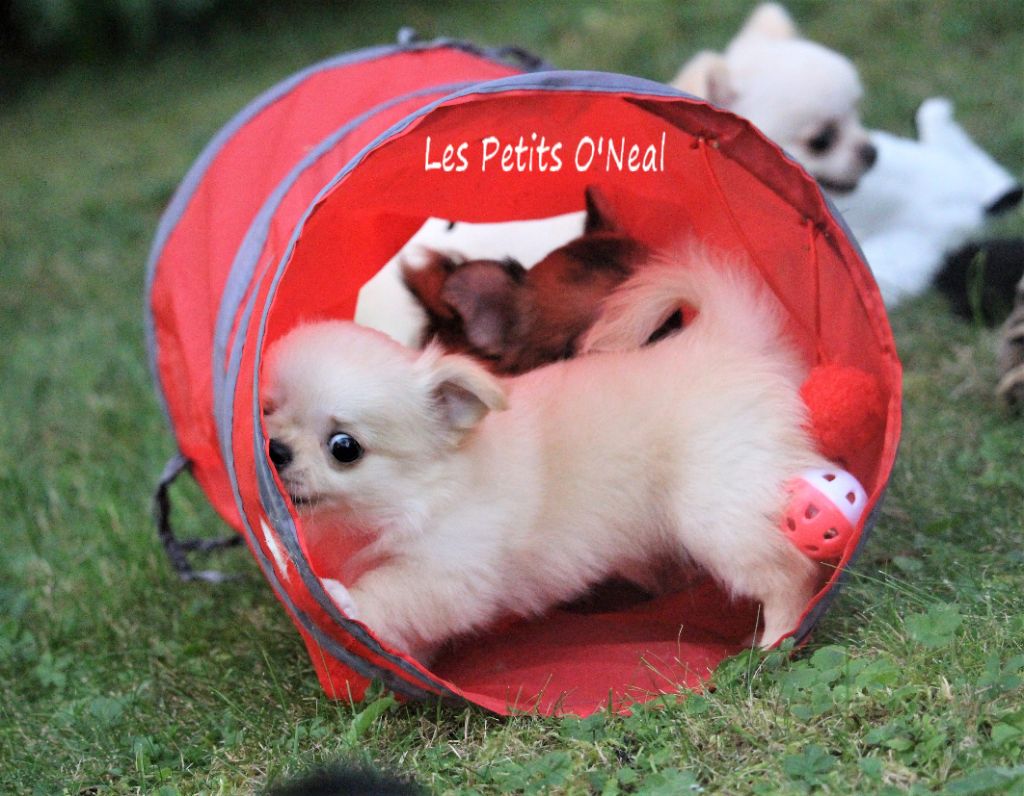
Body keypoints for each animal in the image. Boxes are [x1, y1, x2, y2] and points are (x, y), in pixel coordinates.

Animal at [261, 248, 829, 662]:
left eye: (344, 448)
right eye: (267, 411)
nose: (275, 449)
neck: (423, 492)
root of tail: (725, 339)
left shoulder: (450, 572)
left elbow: (391, 591)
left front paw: (345, 601)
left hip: (719, 512)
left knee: (789, 573)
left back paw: (775, 642)